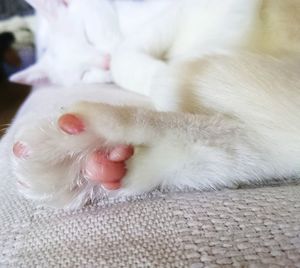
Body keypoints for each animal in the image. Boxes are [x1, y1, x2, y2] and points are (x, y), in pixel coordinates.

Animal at [8, 0, 300, 208]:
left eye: (87, 35)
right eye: (83, 74)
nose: (103, 61)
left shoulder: (188, 11)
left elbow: (128, 57)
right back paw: (90, 158)